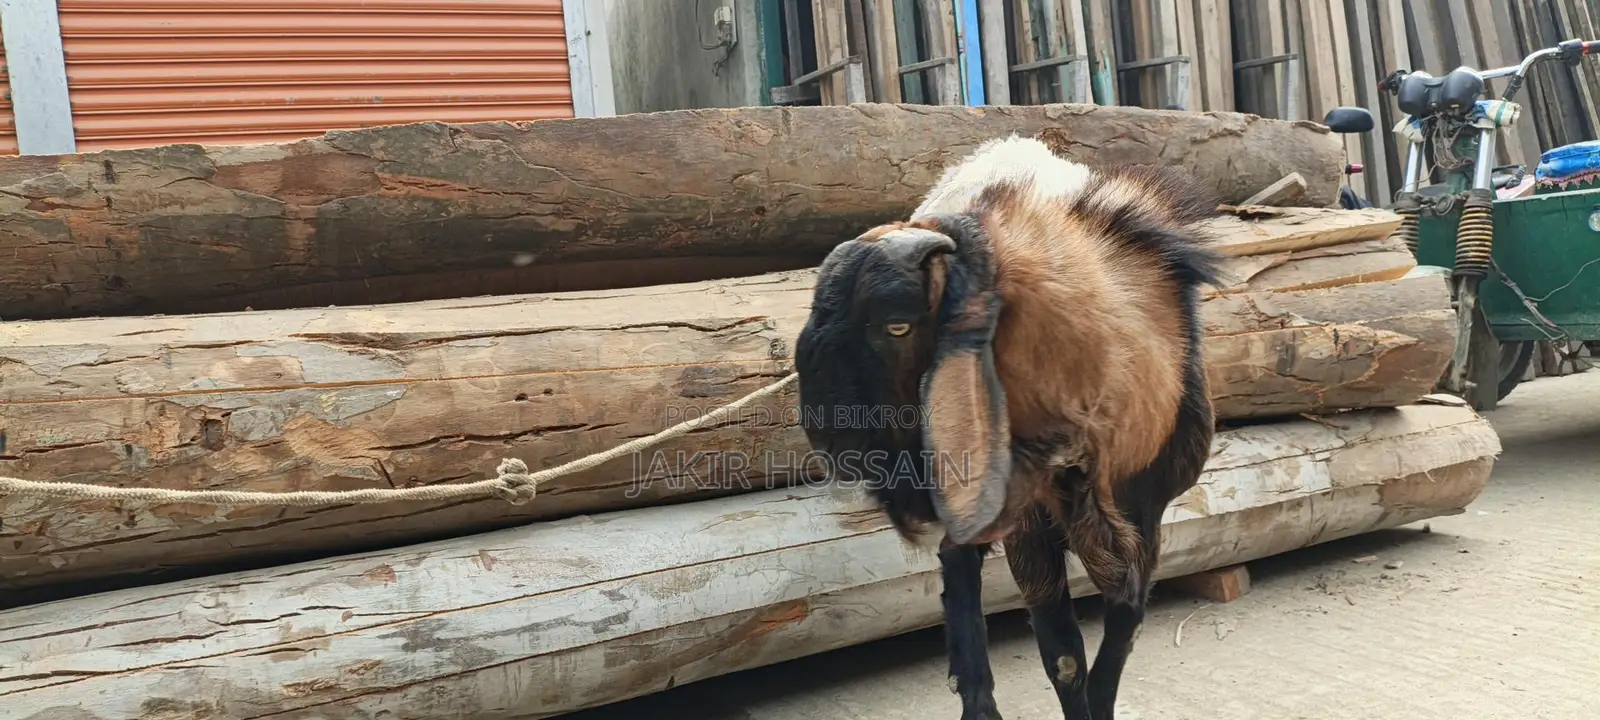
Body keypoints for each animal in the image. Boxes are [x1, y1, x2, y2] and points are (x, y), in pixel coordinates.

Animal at [793, 135, 1221, 720]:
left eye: (897, 326)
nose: (828, 441)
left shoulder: (1146, 518)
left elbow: (1119, 640)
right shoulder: (1029, 529)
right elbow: (1064, 658)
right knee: (958, 566)